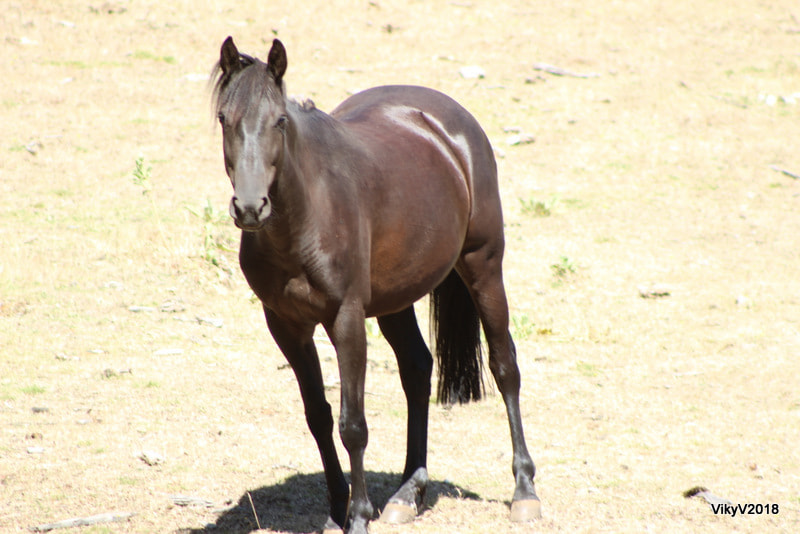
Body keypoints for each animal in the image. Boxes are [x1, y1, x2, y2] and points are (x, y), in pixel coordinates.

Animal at [209, 35, 540, 532]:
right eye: (223, 119)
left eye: (280, 121)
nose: (250, 208)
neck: (305, 216)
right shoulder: (286, 325)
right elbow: (319, 416)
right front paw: (335, 511)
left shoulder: (346, 319)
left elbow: (353, 425)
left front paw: (359, 516)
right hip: (395, 300)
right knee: (417, 370)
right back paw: (408, 492)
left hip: (483, 266)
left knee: (505, 368)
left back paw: (524, 491)